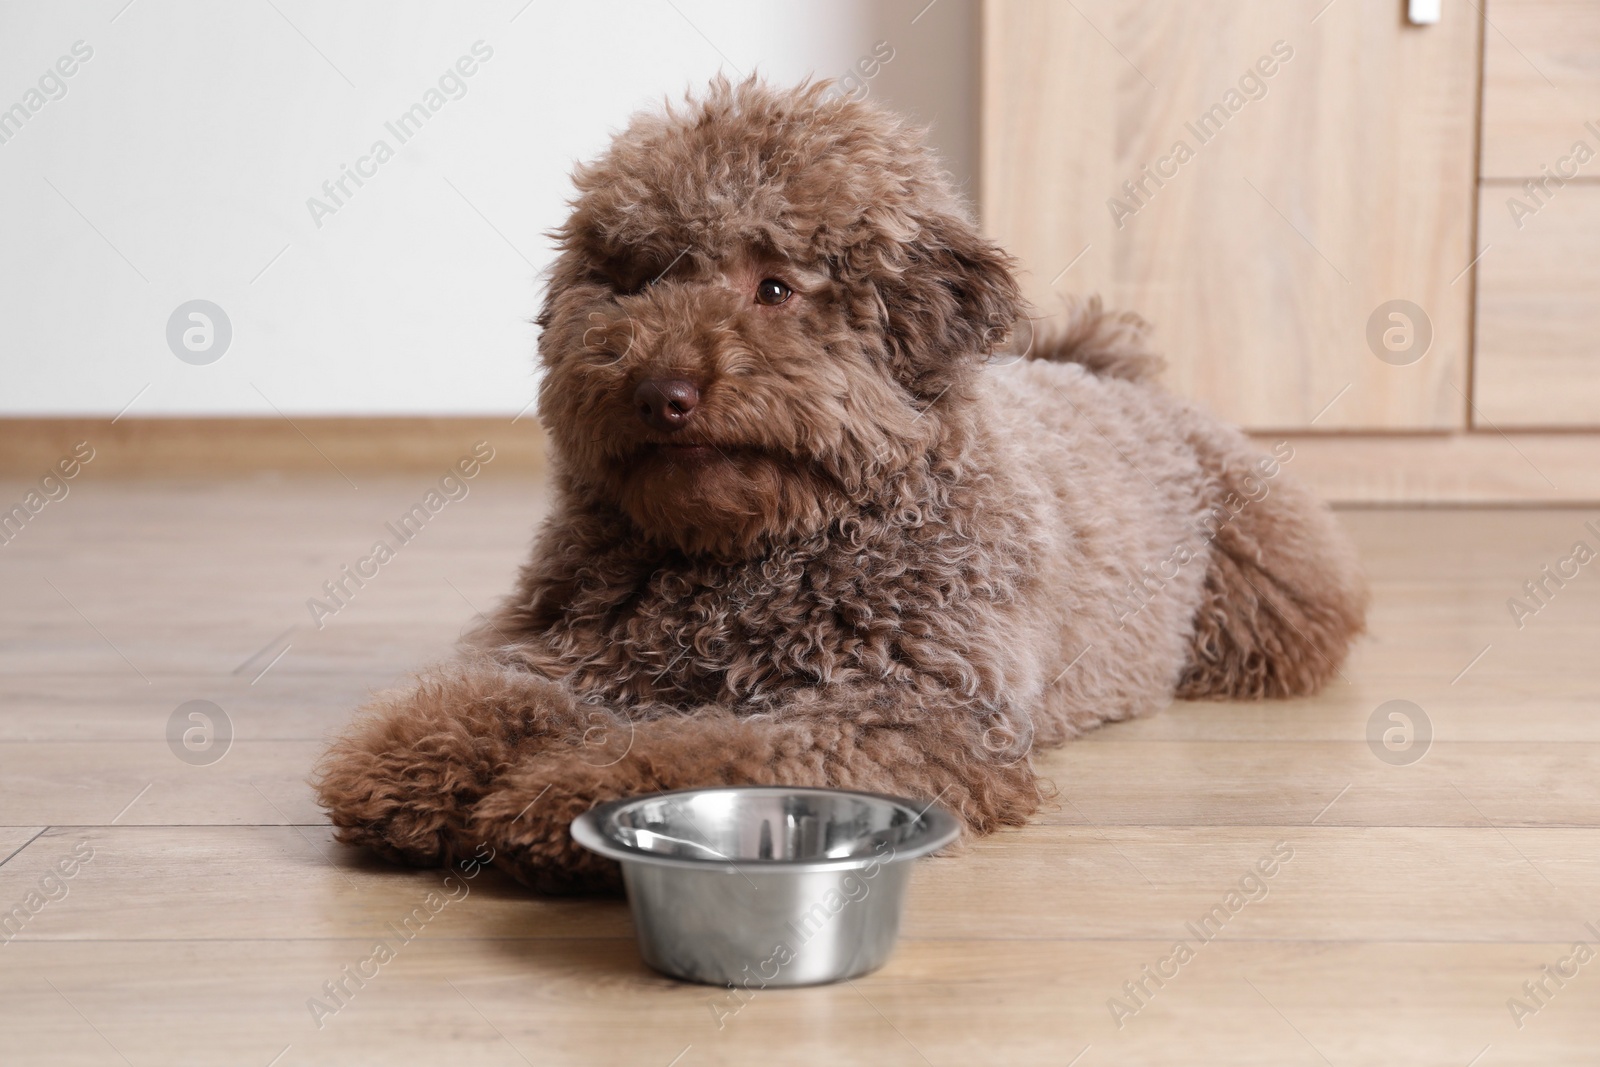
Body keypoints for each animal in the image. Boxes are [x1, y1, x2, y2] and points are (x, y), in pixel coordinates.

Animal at [312, 77, 1363, 895]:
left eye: (775, 286)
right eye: (636, 280)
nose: (661, 392)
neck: (754, 552)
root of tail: (1108, 373)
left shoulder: (910, 714)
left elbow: (709, 748)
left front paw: (561, 791)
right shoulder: (559, 646)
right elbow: (477, 694)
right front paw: (426, 759)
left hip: (1264, 597)